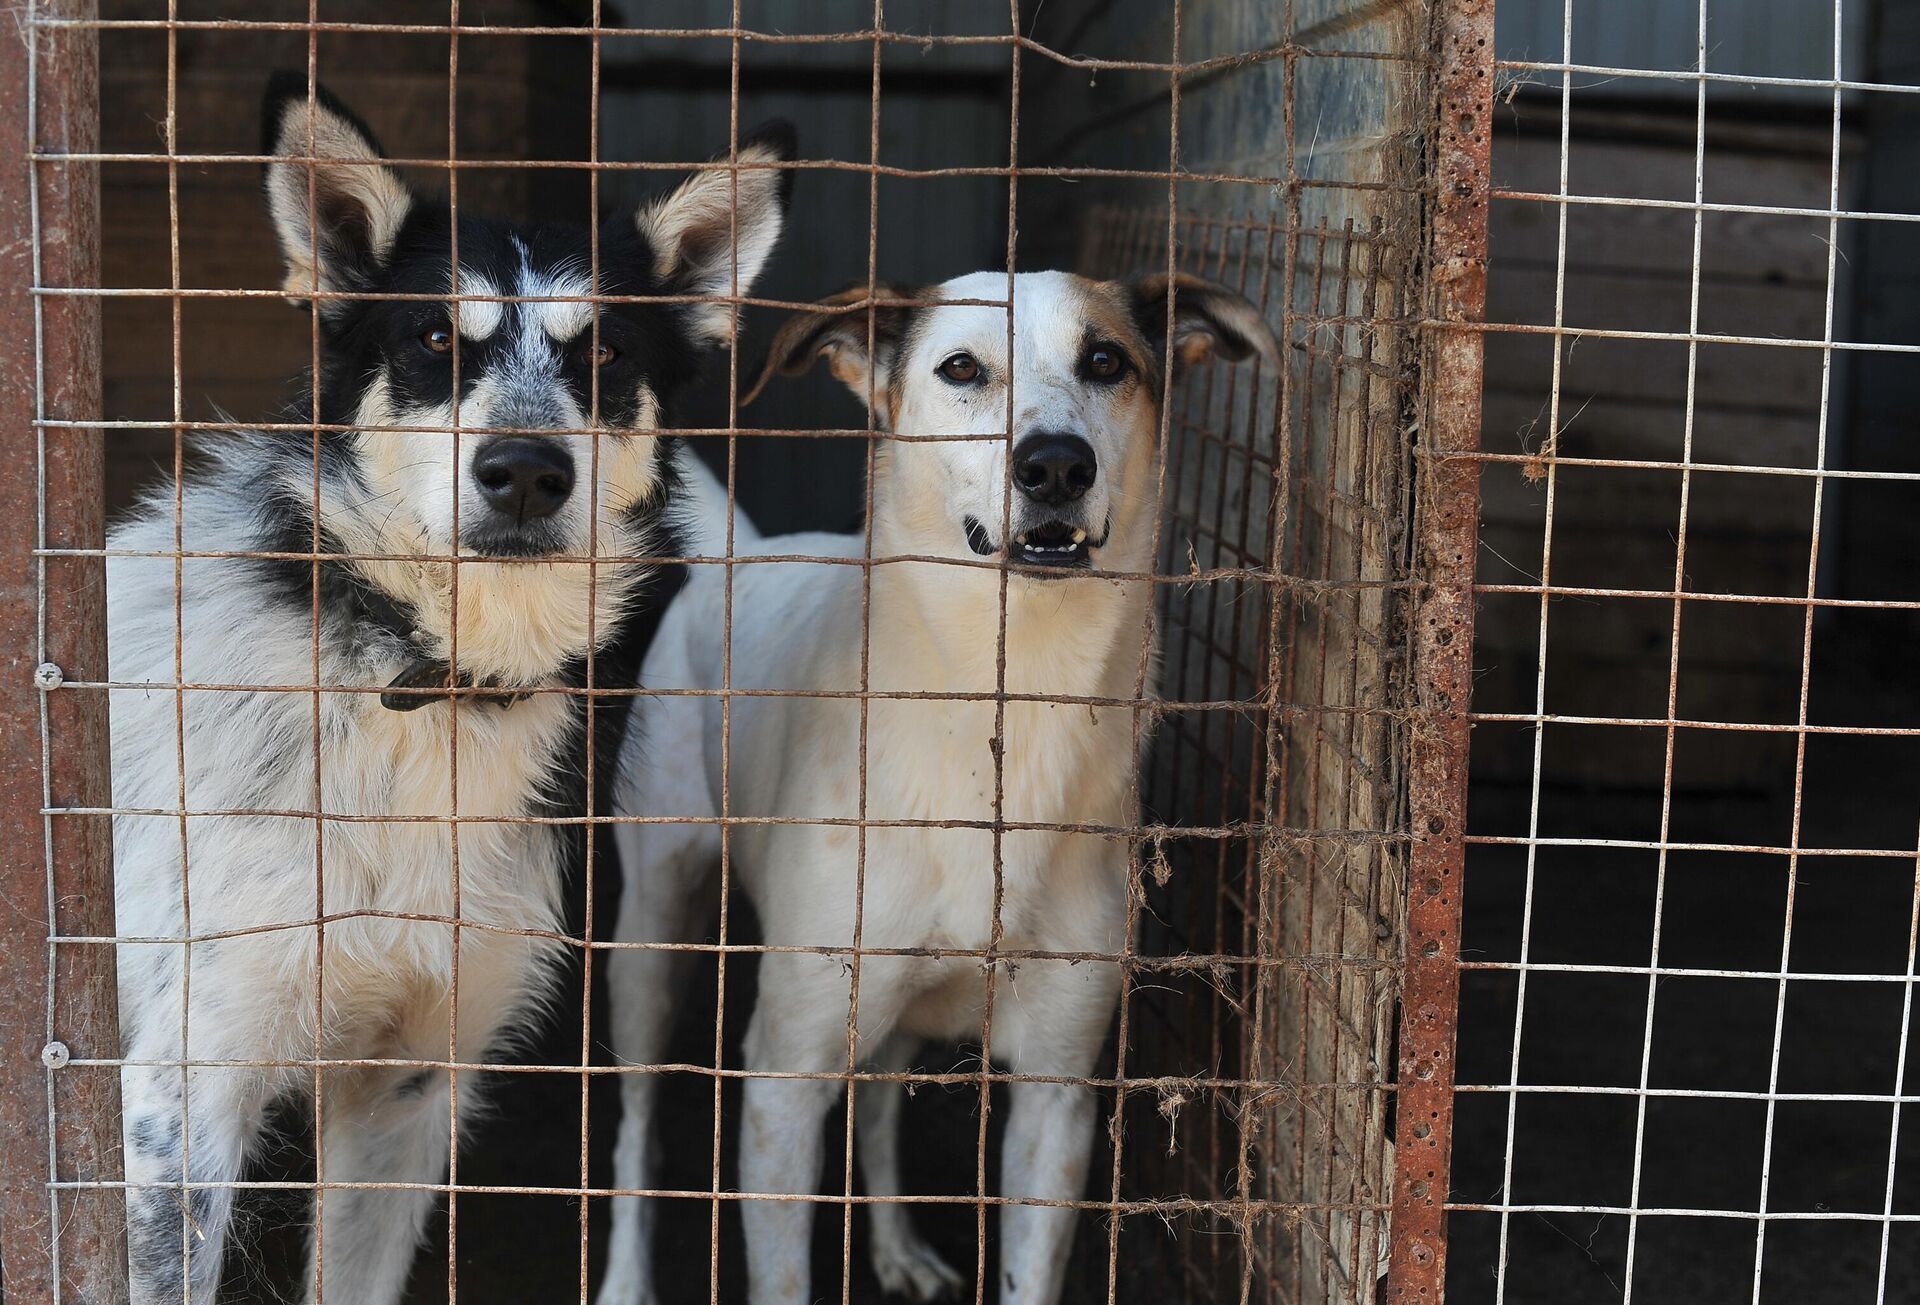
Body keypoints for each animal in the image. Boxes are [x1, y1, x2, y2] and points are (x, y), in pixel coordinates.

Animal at [105, 81, 791, 1305]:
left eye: (606, 350)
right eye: (434, 341)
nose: (524, 472)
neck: (419, 684)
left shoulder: (410, 1083)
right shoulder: (186, 1086)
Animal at [599, 266, 1282, 1305]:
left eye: (1106, 361)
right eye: (960, 367)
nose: (1054, 466)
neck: (1008, 705)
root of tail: (749, 553)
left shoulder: (1057, 1092)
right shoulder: (783, 1077)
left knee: (880, 1110)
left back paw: (896, 1247)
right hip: (650, 933)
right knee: (637, 1123)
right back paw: (627, 1276)